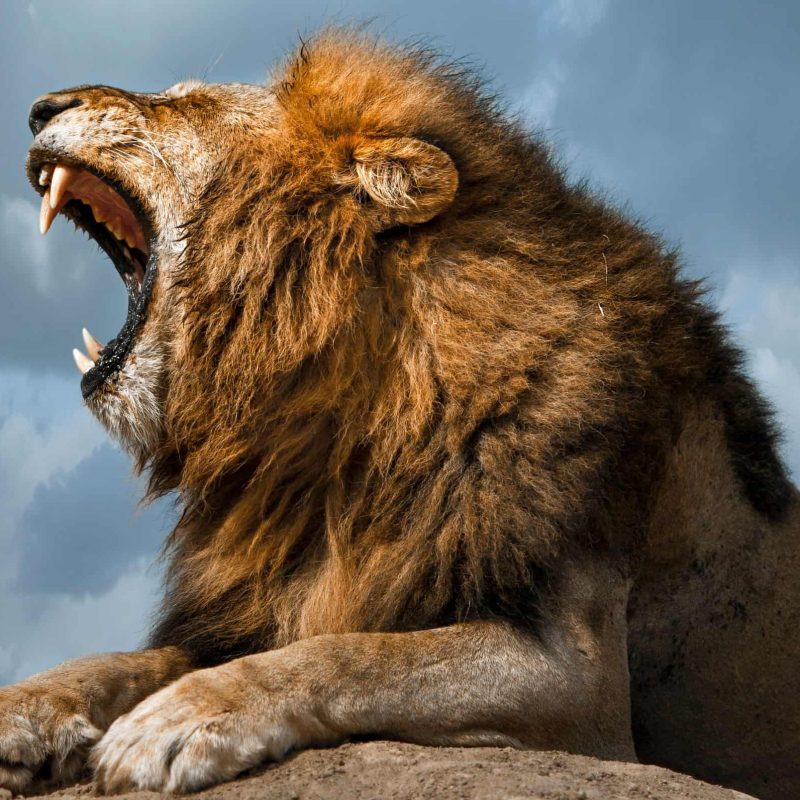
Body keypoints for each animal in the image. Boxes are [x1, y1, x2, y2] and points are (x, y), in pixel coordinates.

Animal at [2, 30, 797, 799]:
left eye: (188, 102)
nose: (38, 109)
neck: (322, 436)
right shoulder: (256, 602)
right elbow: (131, 658)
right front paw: (26, 708)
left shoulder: (583, 679)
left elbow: (351, 655)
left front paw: (181, 717)